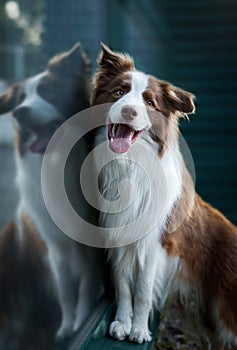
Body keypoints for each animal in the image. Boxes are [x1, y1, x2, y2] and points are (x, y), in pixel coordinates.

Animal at [0, 43, 102, 340]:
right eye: (20, 100)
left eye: (49, 92)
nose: (19, 113)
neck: (58, 162)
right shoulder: (55, 246)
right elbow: (66, 289)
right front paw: (68, 327)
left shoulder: (89, 246)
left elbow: (86, 285)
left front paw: (81, 319)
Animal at [91, 45, 237, 348]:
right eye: (118, 92)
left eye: (150, 102)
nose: (129, 111)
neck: (131, 165)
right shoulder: (118, 237)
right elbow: (123, 286)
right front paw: (122, 323)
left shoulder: (157, 243)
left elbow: (144, 290)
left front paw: (138, 329)